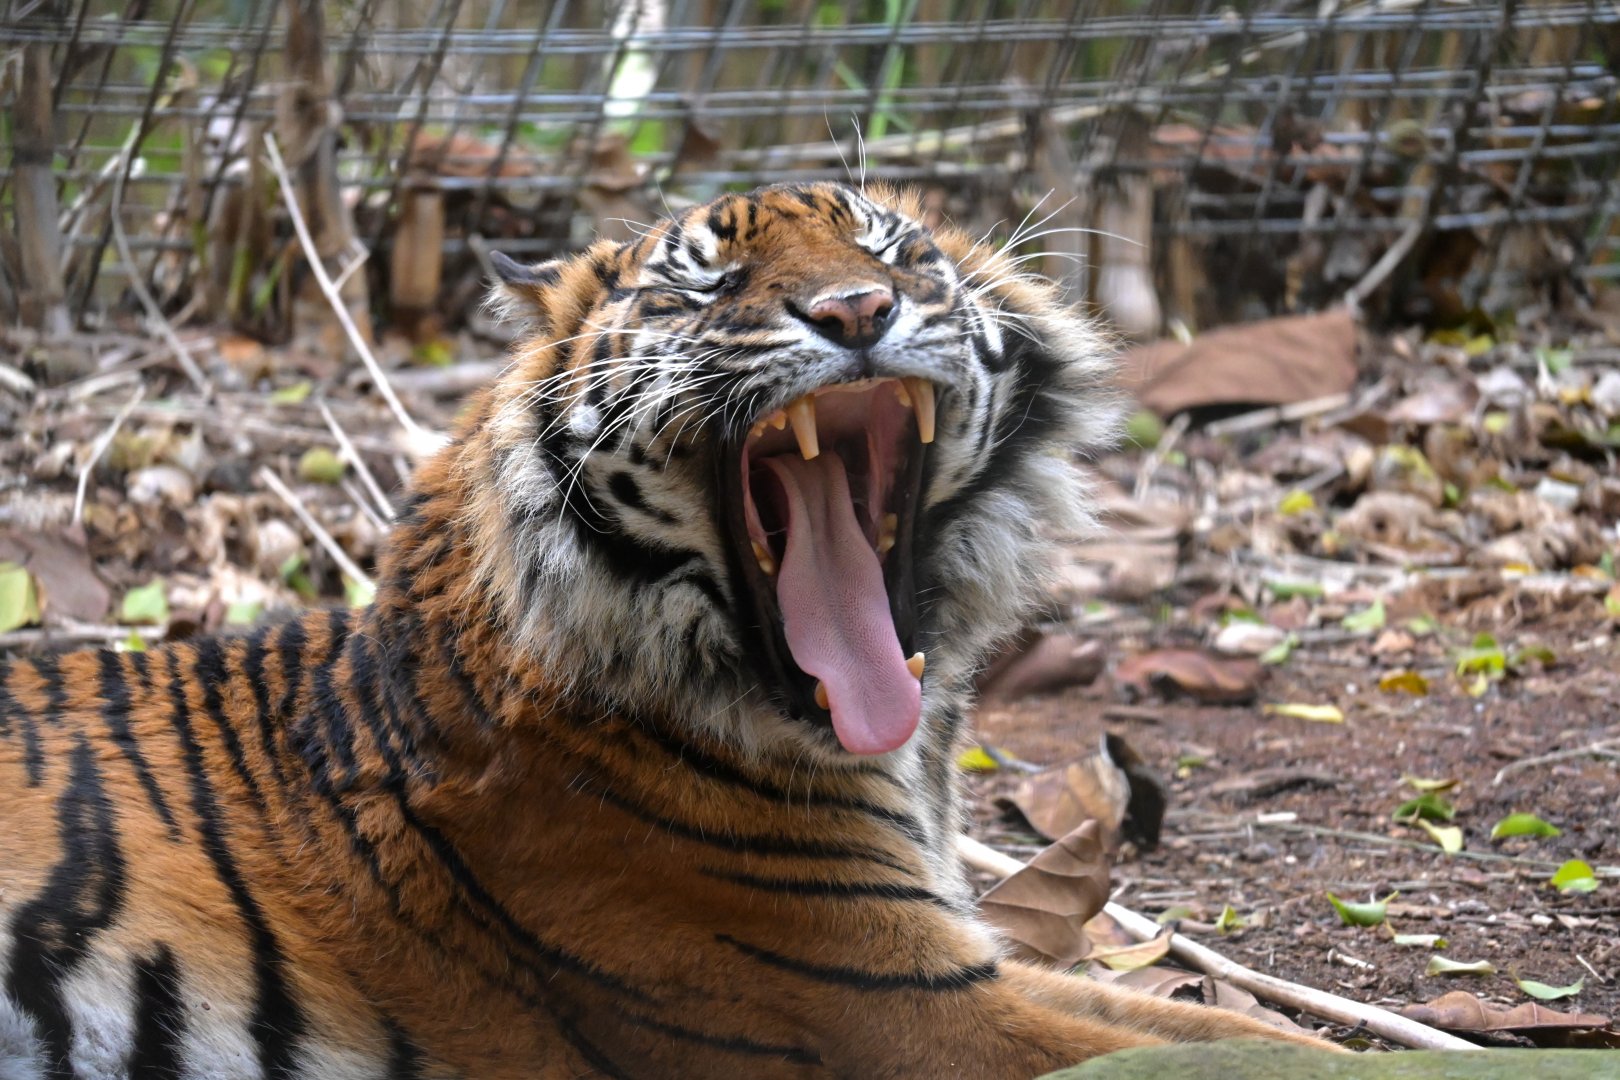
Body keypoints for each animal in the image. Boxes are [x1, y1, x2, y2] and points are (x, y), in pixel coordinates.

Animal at [0, 182, 1339, 1079]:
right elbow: (1269, 1054)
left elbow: (1235, 1023)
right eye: (704, 283)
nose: (859, 307)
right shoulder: (905, 1004)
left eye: (892, 249)